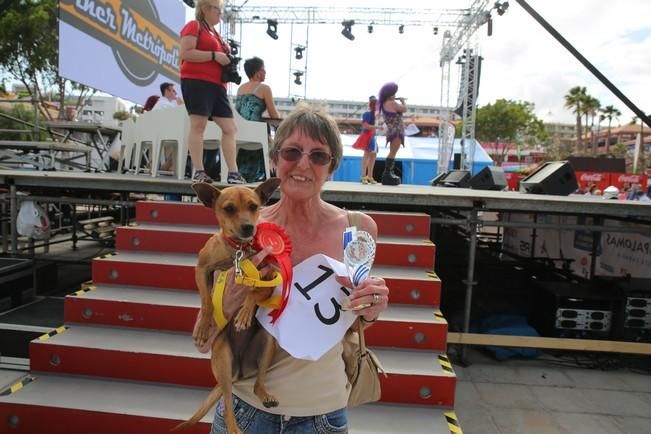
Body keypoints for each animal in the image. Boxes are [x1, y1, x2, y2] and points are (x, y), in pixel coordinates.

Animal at [176, 178, 282, 432]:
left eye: (254, 207)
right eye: (229, 209)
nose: (248, 227)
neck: (237, 250)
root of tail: (239, 372)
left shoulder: (269, 280)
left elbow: (253, 291)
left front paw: (244, 313)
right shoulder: (202, 270)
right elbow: (206, 301)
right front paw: (203, 327)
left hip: (267, 343)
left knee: (257, 384)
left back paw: (264, 394)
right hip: (223, 359)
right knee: (226, 405)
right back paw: (233, 427)